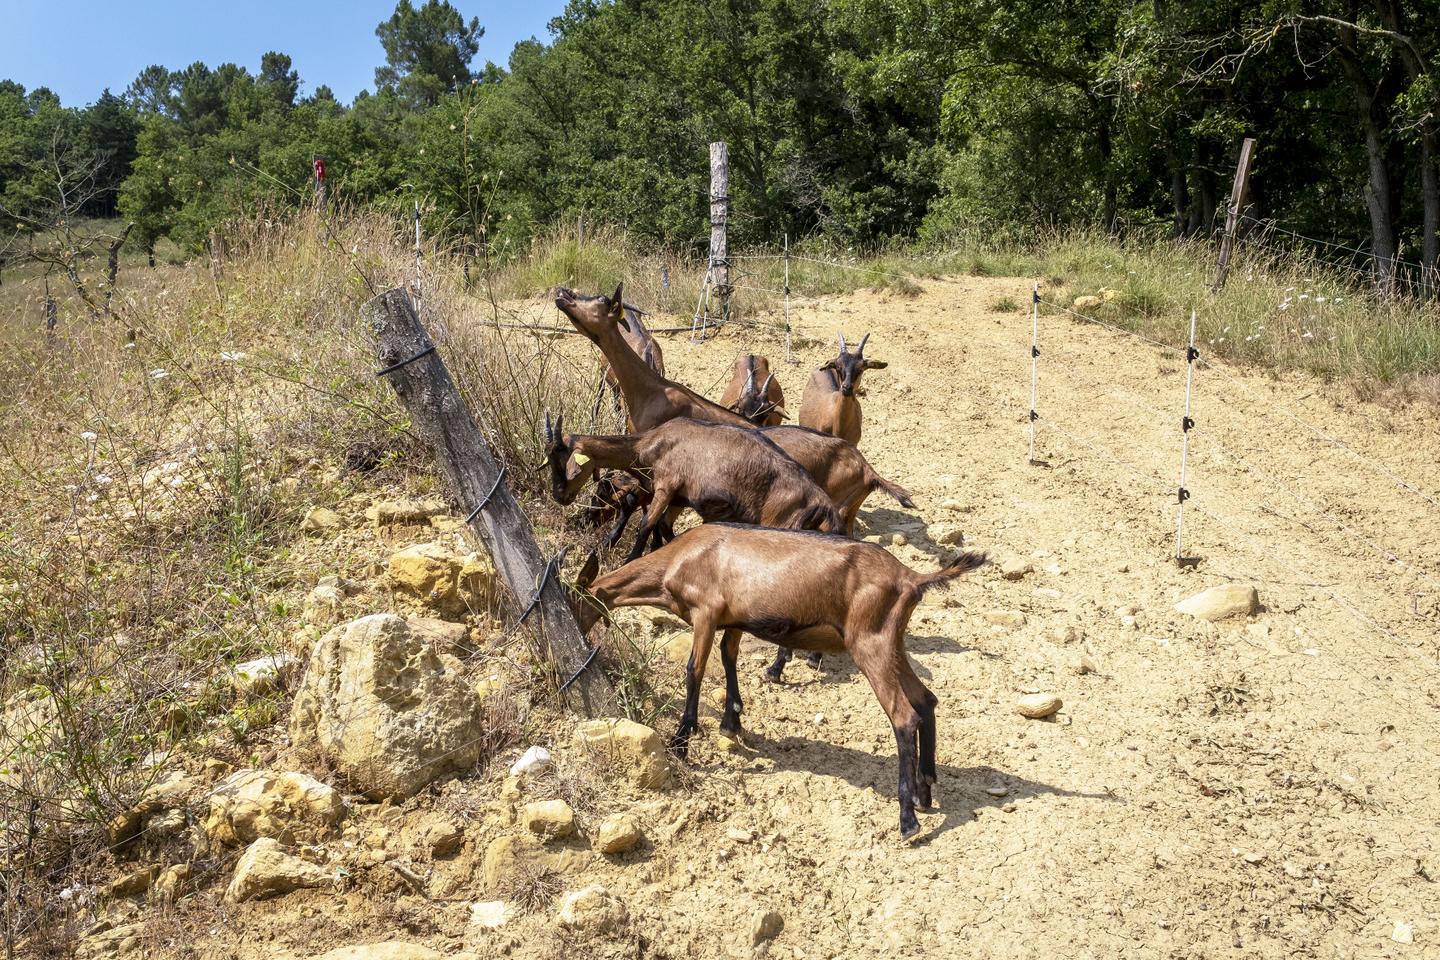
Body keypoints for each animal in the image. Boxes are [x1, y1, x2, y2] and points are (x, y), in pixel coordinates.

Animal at [541, 414, 840, 564]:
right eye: (549, 462)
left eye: (568, 464)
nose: (559, 495)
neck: (652, 444)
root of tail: (822, 502)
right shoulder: (677, 498)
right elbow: (663, 527)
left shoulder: (666, 487)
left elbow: (646, 525)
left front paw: (629, 560)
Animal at [573, 526, 990, 840]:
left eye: (574, 598)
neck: (678, 560)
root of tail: (910, 577)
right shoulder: (733, 619)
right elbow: (728, 656)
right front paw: (732, 721)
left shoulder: (706, 612)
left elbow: (694, 670)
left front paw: (681, 741)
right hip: (893, 642)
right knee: (926, 700)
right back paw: (925, 789)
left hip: (870, 641)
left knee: (904, 715)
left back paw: (907, 818)